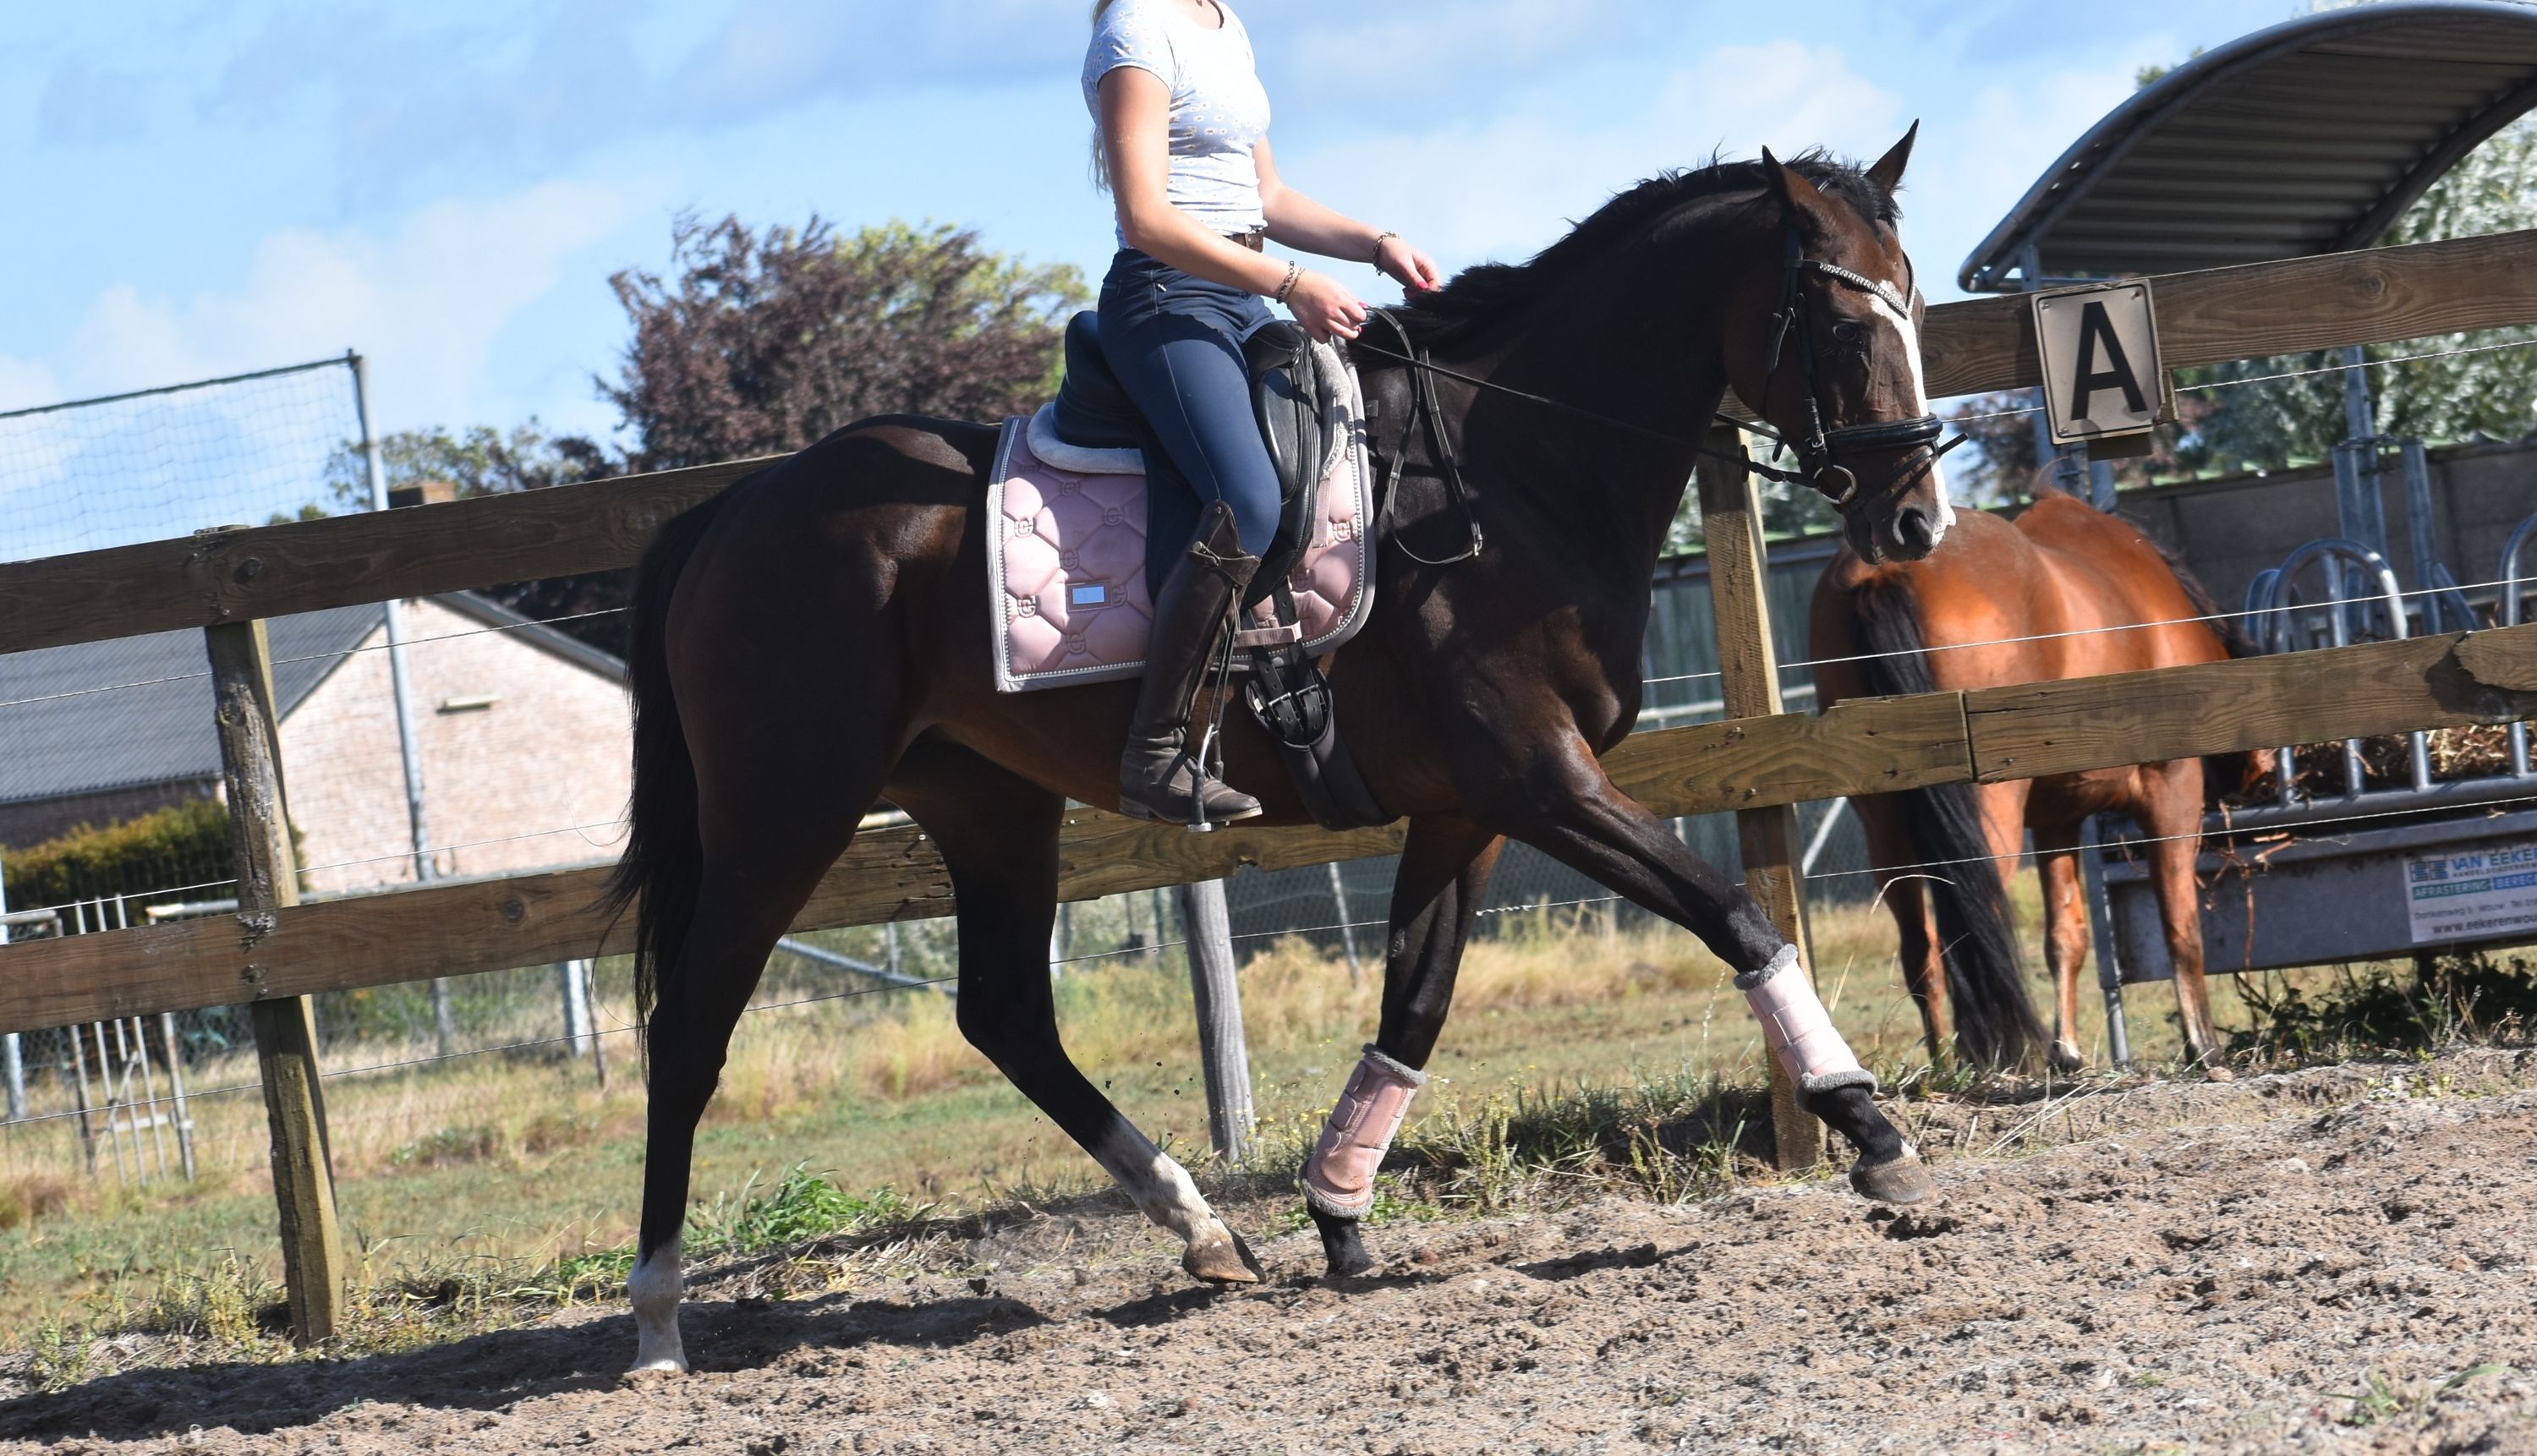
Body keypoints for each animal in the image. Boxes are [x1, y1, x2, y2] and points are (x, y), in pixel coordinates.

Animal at [605, 132, 1960, 1374]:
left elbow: (1416, 1002)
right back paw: (659, 1320)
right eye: (1845, 318)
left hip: (988, 808)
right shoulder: (1542, 779)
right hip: (785, 813)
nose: (1917, 522)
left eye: (1915, 298)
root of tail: (730, 511)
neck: (1507, 476)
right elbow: (1736, 913)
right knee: (692, 1024)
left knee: (1005, 1013)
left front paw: (1339, 1213)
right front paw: (1868, 1126)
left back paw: (1205, 1230)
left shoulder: (1469, 808)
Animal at [1808, 484, 2260, 1075]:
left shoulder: (2056, 819)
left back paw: (1946, 1065)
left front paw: (2066, 1049)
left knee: (1922, 948)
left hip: (1885, 826)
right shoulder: (2173, 790)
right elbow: (2180, 927)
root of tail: (1885, 571)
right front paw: (2202, 1044)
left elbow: (2066, 937)